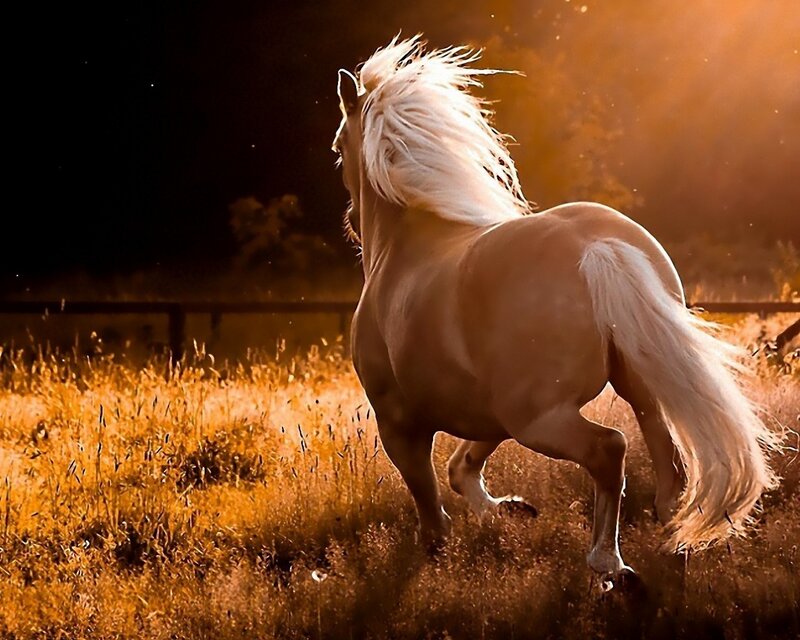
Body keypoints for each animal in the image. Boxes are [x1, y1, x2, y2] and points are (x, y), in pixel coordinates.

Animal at [332, 36, 779, 579]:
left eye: (338, 148)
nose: (350, 223)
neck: (404, 249)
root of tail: (597, 247)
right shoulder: (488, 412)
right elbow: (461, 469)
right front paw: (509, 510)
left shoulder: (399, 422)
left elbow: (429, 502)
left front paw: (438, 553)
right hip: (629, 389)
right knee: (667, 463)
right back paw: (672, 544)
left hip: (540, 419)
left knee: (610, 449)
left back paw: (610, 564)